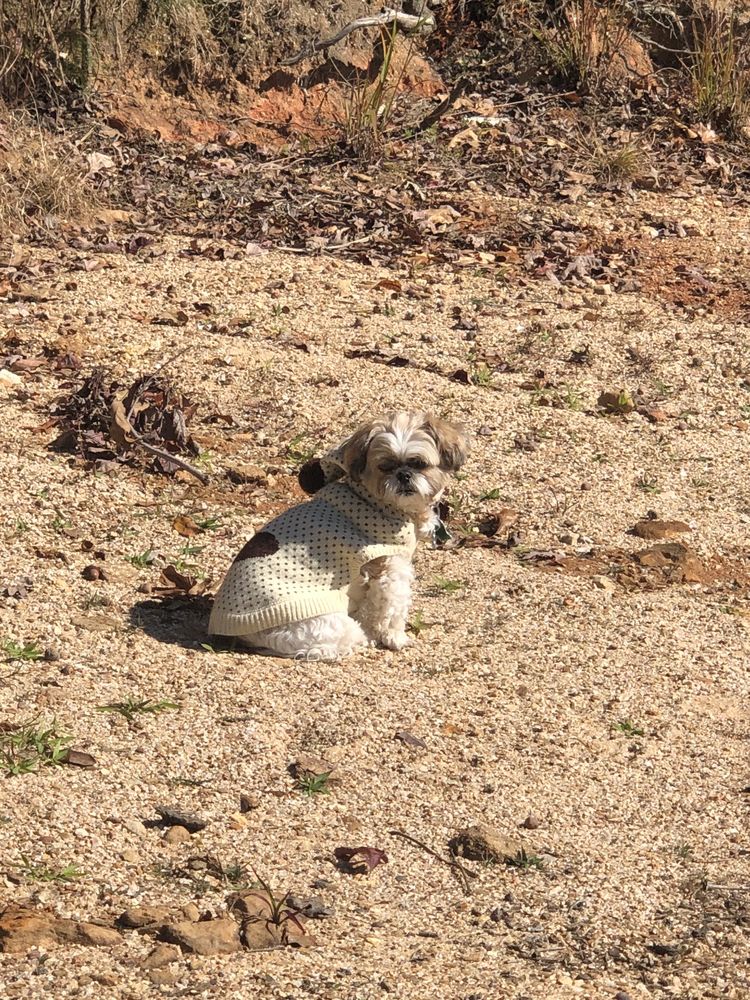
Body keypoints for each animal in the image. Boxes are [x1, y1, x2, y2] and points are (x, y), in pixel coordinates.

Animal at [208, 411, 468, 660]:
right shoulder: (390, 568)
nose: (403, 475)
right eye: (385, 467)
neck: (378, 502)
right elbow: (391, 608)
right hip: (329, 622)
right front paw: (395, 637)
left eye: (419, 464)